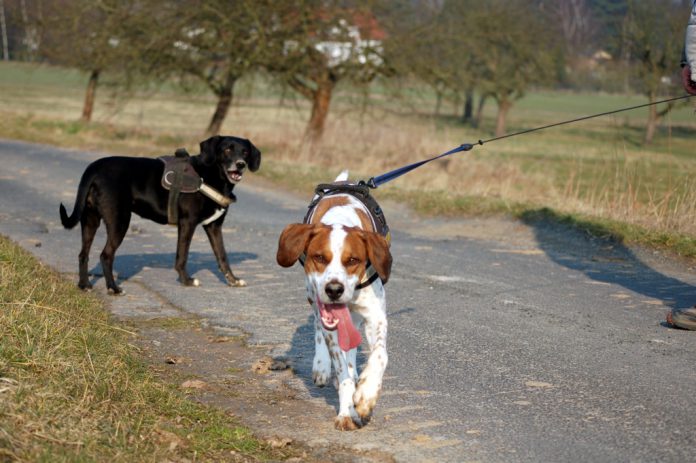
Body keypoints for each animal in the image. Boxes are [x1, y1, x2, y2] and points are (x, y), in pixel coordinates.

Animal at [59, 135, 260, 294]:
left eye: (245, 152)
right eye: (227, 149)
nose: (240, 165)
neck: (209, 174)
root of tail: (95, 168)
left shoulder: (214, 227)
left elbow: (222, 256)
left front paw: (233, 280)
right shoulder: (188, 223)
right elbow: (182, 255)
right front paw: (186, 280)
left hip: (90, 220)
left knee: (83, 254)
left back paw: (84, 285)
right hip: (119, 221)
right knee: (106, 255)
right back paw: (113, 288)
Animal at [280, 173, 394, 432]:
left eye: (353, 260)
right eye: (319, 257)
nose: (334, 290)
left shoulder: (375, 316)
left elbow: (380, 356)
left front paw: (366, 394)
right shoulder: (326, 314)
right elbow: (342, 372)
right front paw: (347, 410)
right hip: (312, 296)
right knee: (319, 327)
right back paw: (322, 366)